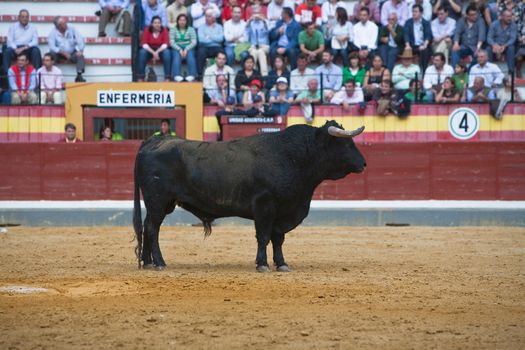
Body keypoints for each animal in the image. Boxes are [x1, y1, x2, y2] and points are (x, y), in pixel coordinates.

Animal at [133, 121, 366, 272]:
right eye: (345, 144)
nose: (363, 163)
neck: (292, 157)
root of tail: (153, 142)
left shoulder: (283, 211)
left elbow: (278, 239)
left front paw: (281, 263)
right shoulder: (264, 206)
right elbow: (263, 236)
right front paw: (262, 264)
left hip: (162, 203)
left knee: (146, 226)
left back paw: (147, 262)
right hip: (158, 201)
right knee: (152, 228)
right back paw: (159, 263)